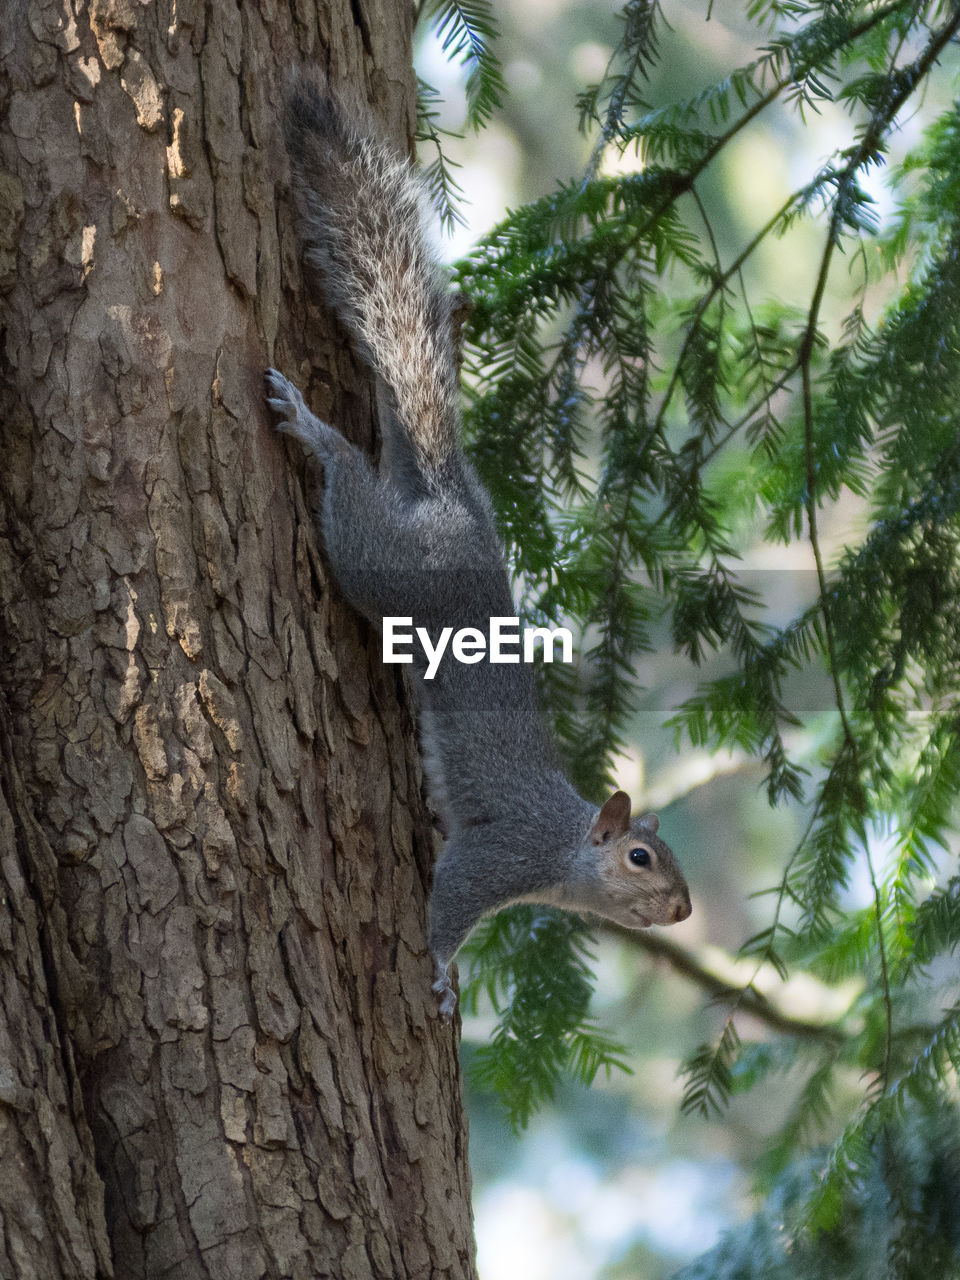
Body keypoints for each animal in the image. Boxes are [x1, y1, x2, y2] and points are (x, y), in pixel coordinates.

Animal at [267, 72, 696, 1018]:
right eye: (641, 857)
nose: (686, 910)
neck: (566, 848)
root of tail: (449, 501)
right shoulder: (498, 856)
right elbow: (450, 902)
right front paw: (440, 975)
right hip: (392, 569)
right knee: (349, 491)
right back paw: (311, 429)